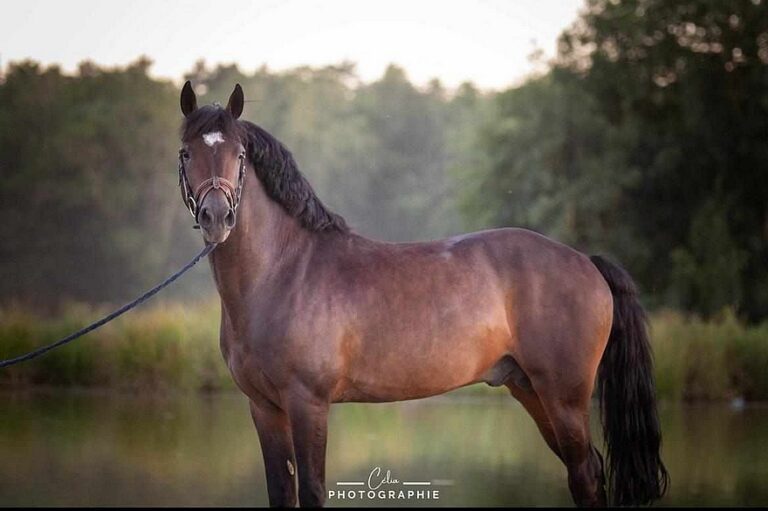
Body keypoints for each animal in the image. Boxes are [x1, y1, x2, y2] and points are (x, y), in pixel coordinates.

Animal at [174, 81, 664, 508]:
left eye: (239, 154)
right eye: (186, 152)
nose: (216, 216)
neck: (285, 272)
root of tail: (585, 261)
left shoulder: (307, 403)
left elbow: (312, 491)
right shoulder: (263, 408)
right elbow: (282, 492)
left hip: (565, 396)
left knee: (586, 475)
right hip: (529, 389)